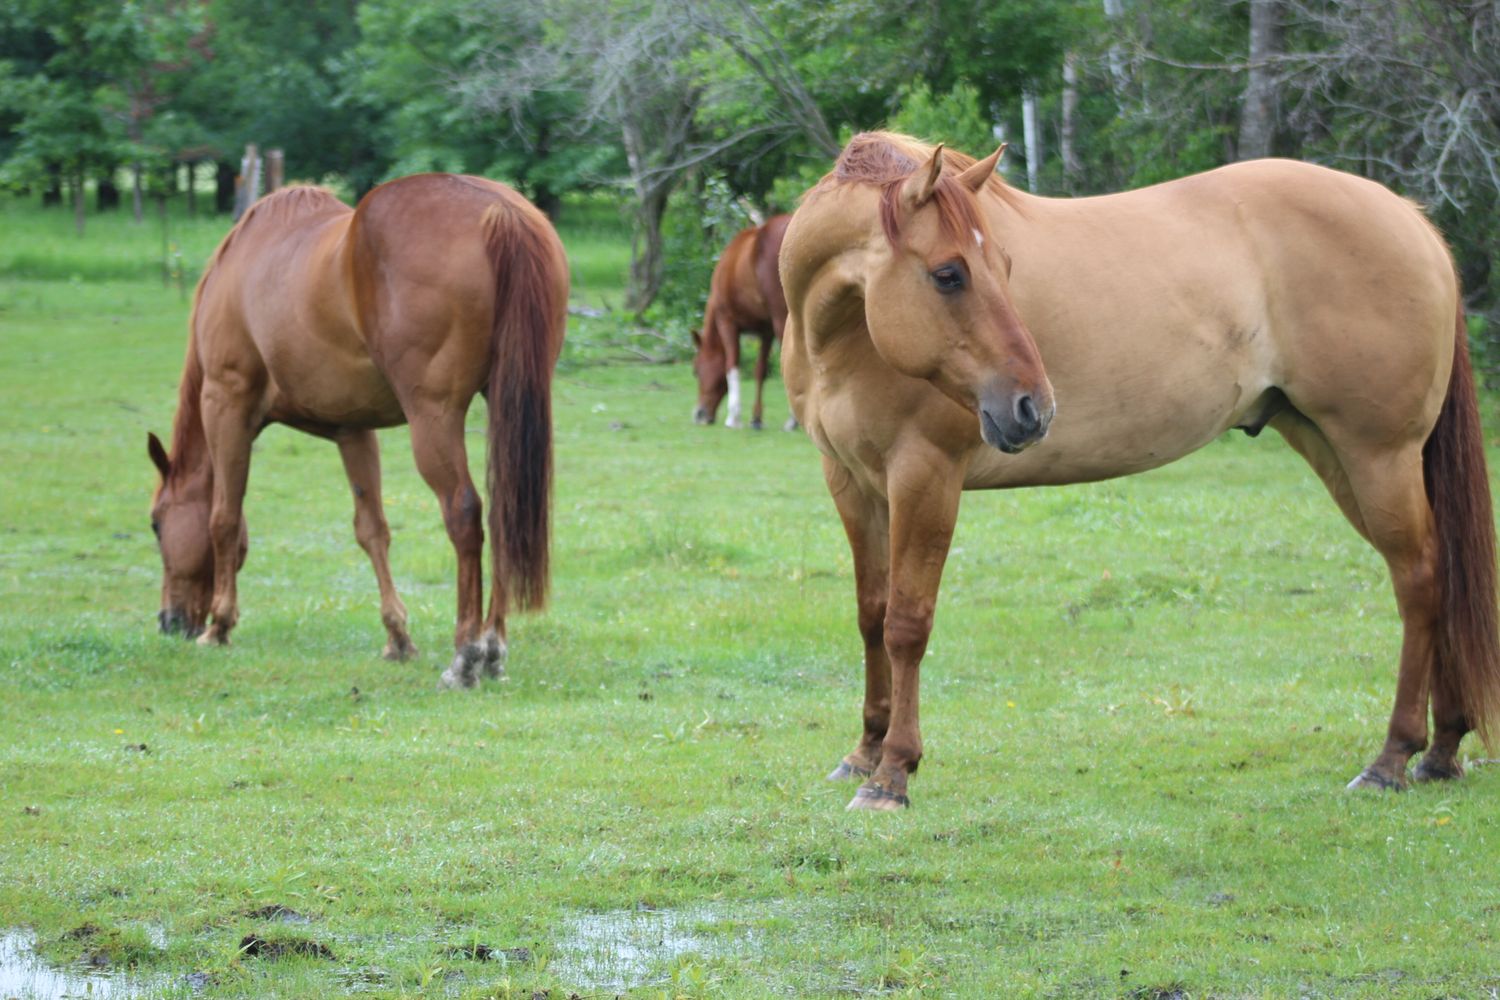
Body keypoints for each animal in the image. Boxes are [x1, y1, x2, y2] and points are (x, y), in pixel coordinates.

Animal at [147, 174, 568, 690]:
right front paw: (397, 638)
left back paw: (468, 654)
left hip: (433, 418)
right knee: (502, 514)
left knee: (464, 513)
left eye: (156, 525)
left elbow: (223, 518)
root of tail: (500, 213)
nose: (169, 622)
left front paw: (220, 626)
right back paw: (493, 649)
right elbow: (372, 530)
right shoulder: (353, 430)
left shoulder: (226, 403)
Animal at [692, 213, 795, 430]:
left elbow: (732, 365)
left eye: (695, 370)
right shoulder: (766, 330)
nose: (699, 414)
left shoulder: (727, 322)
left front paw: (734, 417)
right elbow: (760, 370)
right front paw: (756, 418)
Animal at [780, 131, 1499, 810]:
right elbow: (871, 615)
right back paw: (1442, 749)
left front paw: (893, 775)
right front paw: (865, 752)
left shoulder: (924, 477)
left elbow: (907, 623)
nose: (1033, 408)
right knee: (1436, 576)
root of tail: (1411, 220)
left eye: (1004, 266)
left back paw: (1391, 759)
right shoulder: (852, 483)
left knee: (1420, 579)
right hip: (1334, 450)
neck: (845, 337)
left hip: (1377, 456)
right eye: (950, 274)